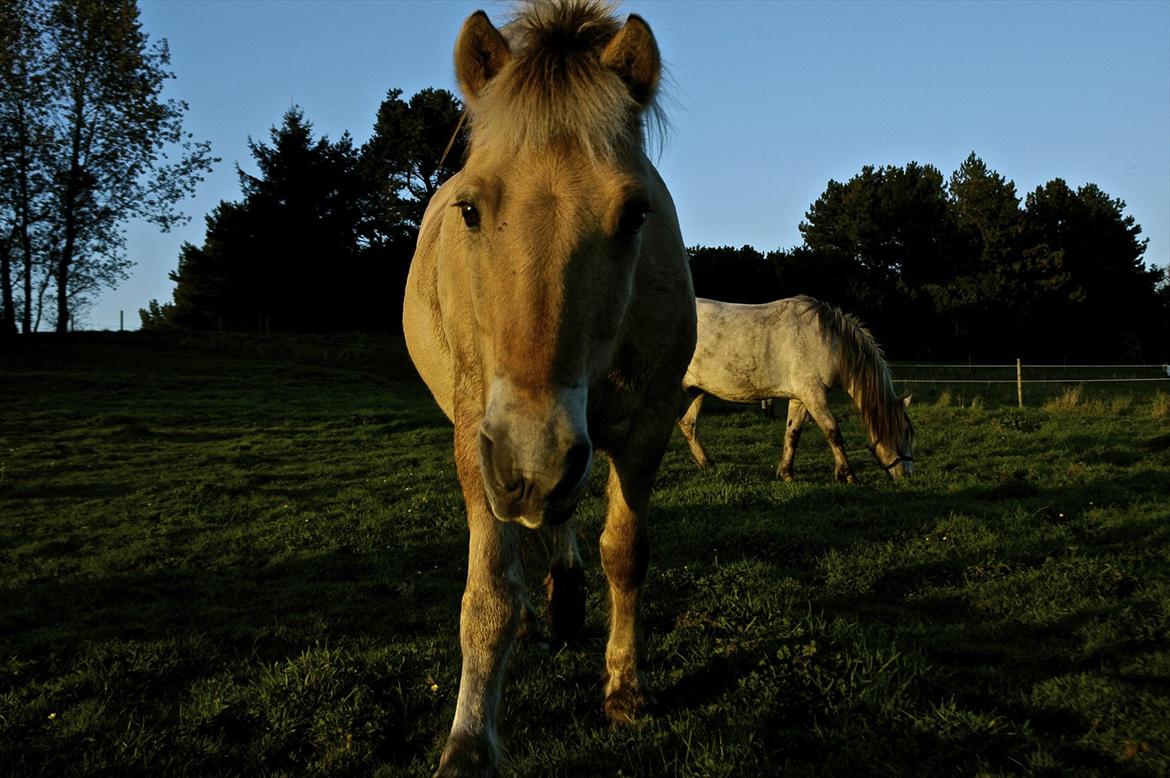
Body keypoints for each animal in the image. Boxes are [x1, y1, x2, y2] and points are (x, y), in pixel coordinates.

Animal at [402, 3, 692, 772]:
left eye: (635, 214)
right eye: (470, 210)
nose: (532, 463)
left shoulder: (646, 430)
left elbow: (625, 553)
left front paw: (624, 687)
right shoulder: (481, 440)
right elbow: (490, 595)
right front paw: (469, 740)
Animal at [678, 294, 912, 482]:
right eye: (905, 432)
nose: (908, 474)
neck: (825, 341)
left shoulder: (800, 399)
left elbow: (792, 435)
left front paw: (786, 474)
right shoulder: (814, 395)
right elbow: (833, 433)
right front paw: (849, 475)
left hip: (696, 391)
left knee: (688, 425)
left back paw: (707, 464)